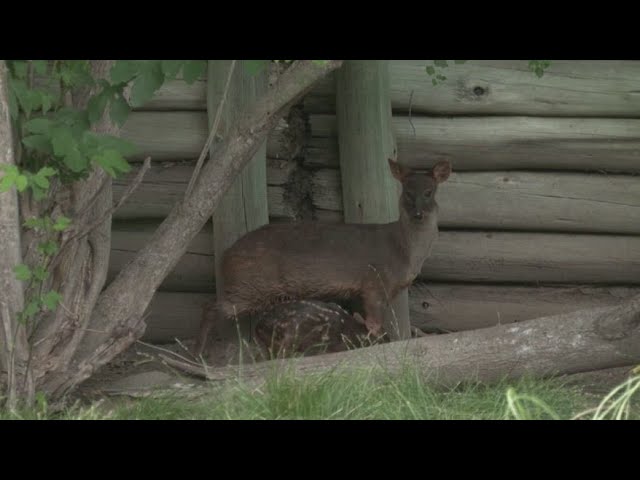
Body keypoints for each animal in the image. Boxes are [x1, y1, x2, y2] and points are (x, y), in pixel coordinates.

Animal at [195, 159, 450, 358]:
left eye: (429, 192)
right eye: (407, 192)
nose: (418, 213)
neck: (404, 251)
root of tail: (226, 256)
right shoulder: (374, 281)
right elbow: (374, 324)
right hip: (249, 284)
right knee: (210, 306)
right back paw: (199, 352)